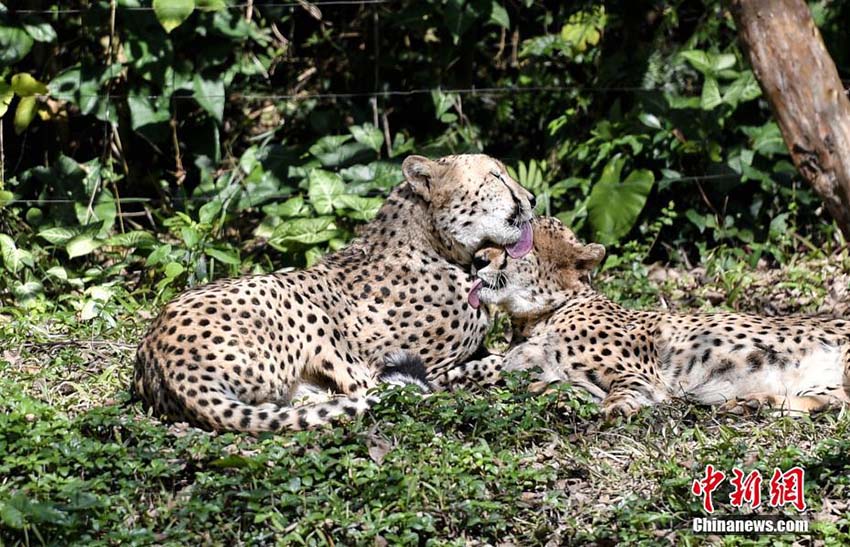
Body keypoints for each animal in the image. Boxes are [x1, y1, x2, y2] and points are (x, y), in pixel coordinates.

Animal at [135, 153, 532, 432]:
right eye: (496, 176)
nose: (531, 198)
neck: (434, 242)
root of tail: (158, 356)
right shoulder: (405, 361)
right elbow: (446, 372)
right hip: (292, 297)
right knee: (366, 388)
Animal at [438, 218, 848, 420]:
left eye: (513, 247)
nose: (477, 261)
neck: (539, 317)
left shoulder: (641, 375)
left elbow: (624, 390)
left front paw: (615, 408)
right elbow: (517, 377)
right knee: (833, 402)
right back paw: (754, 403)